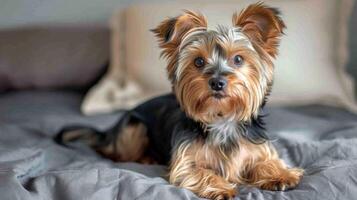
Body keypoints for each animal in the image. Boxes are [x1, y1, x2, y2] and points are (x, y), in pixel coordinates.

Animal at [57, 2, 302, 199]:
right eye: (199, 61)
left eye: (238, 59)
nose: (217, 82)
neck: (221, 119)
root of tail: (111, 130)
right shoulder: (185, 164)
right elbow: (202, 172)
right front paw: (220, 187)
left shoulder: (257, 148)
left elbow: (267, 161)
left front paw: (280, 174)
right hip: (133, 128)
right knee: (111, 153)